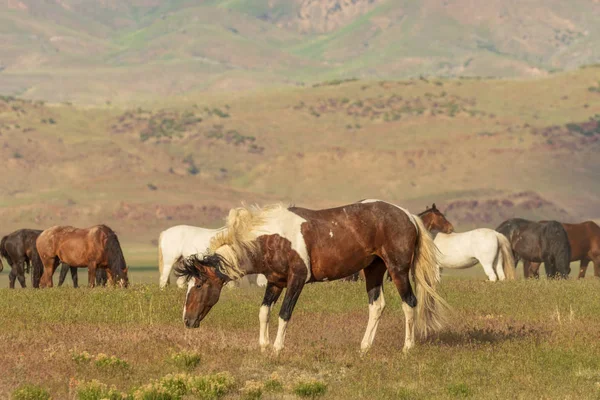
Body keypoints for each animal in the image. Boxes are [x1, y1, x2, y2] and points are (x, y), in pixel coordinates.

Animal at [176, 199, 448, 354]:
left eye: (198, 285)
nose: (187, 321)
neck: (272, 239)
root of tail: (407, 215)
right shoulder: (275, 282)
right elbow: (264, 312)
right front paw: (263, 346)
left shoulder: (296, 280)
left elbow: (284, 313)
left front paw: (277, 348)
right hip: (373, 271)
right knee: (377, 306)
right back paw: (364, 347)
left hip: (397, 270)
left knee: (409, 303)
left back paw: (407, 347)